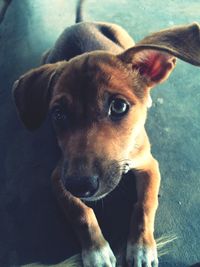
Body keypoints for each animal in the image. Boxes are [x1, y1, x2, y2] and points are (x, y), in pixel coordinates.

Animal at [12, 1, 200, 266]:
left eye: (119, 106)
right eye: (58, 114)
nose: (80, 185)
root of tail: (80, 23)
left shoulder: (149, 164)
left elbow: (145, 204)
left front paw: (141, 247)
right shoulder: (59, 176)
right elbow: (80, 211)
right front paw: (96, 251)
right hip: (45, 57)